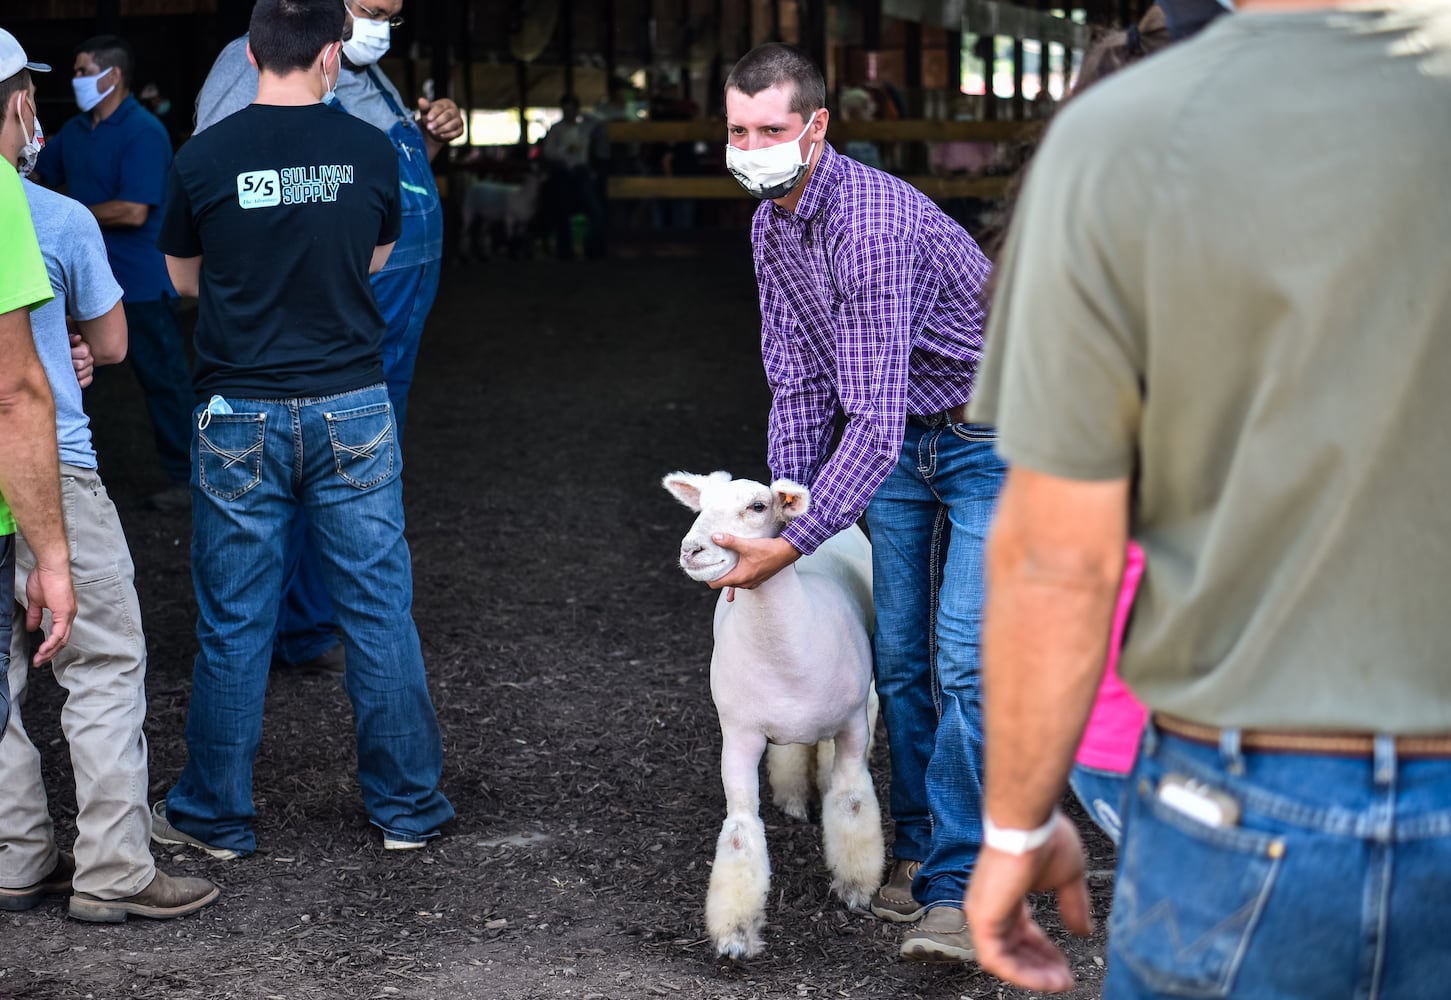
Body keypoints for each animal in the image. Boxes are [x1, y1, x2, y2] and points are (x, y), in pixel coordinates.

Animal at [661, 467, 882, 957]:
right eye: (701, 506)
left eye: (758, 507)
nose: (691, 550)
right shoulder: (739, 735)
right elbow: (741, 831)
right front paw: (735, 937)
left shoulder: (853, 725)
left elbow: (853, 800)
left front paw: (856, 889)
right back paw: (794, 796)